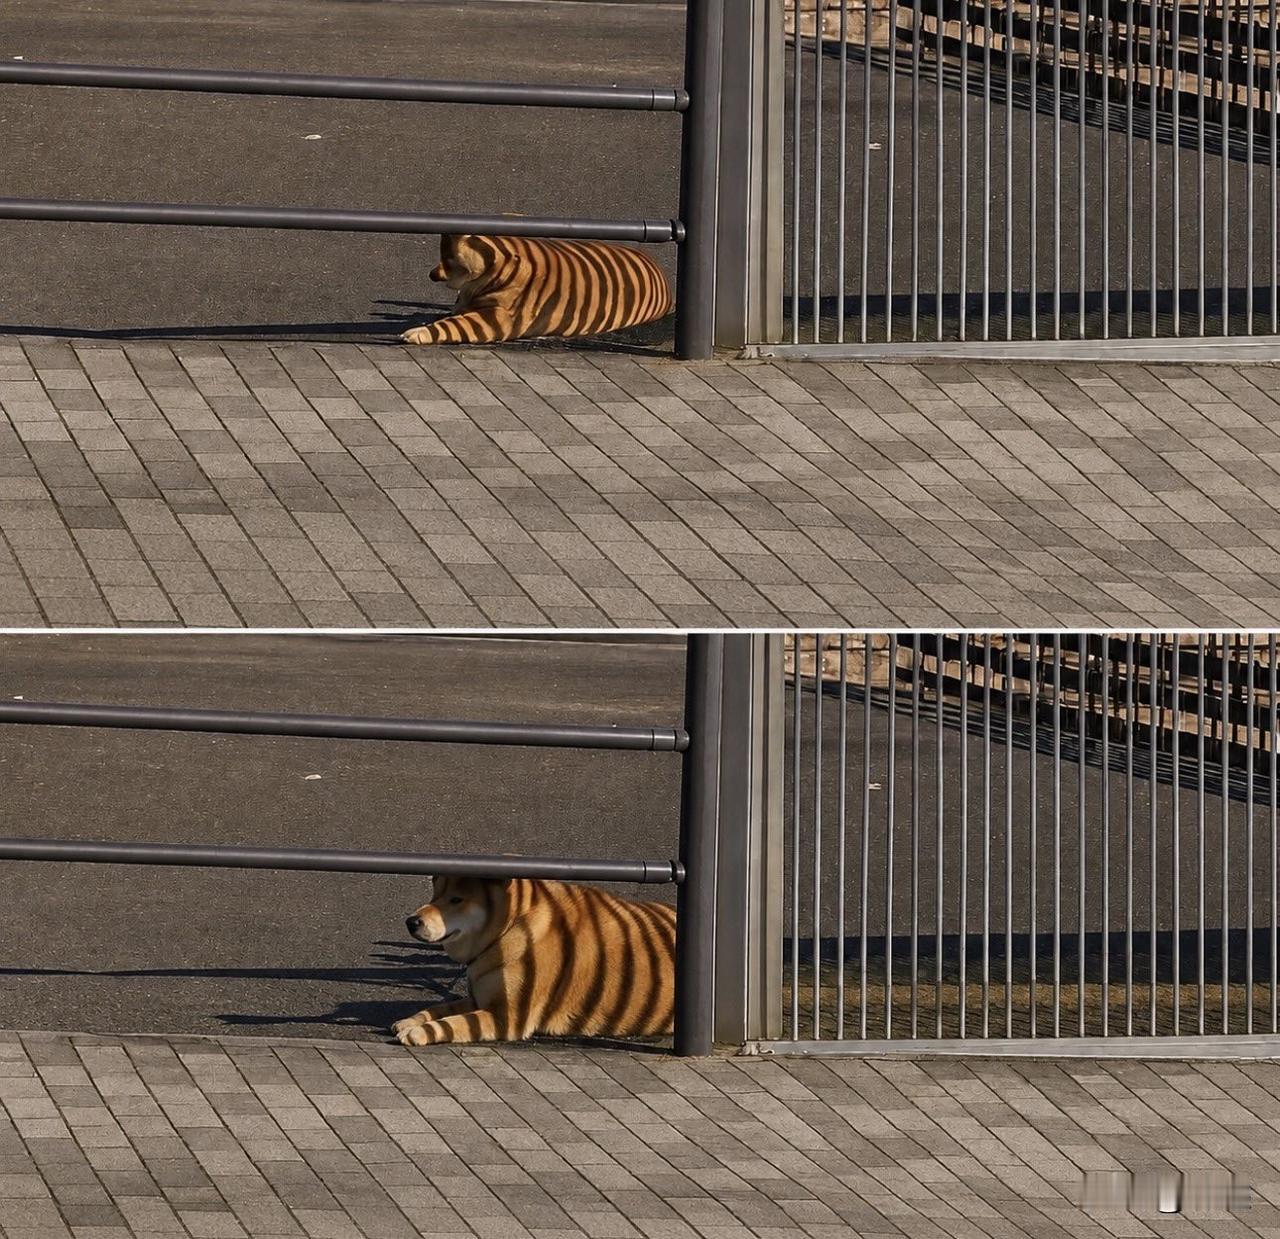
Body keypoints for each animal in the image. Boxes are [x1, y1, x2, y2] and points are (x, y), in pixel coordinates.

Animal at [391, 874, 676, 1046]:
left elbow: (455, 1022)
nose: (411, 921)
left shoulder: (508, 1017)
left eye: (456, 900)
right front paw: (411, 1021)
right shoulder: (480, 998)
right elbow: (439, 1009)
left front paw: (419, 1032)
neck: (508, 928)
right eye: (434, 896)